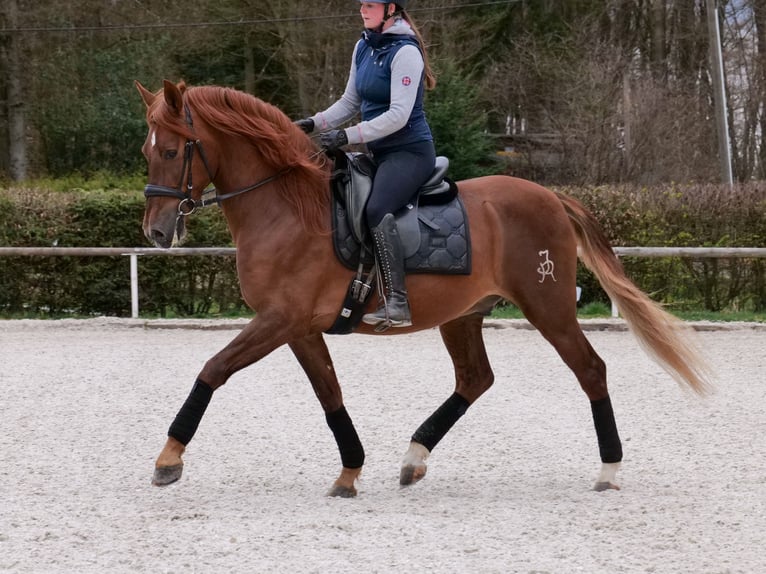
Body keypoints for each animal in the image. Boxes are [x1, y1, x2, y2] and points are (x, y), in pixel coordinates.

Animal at [135, 79, 711, 497]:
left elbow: (214, 369)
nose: (156, 232)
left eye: (173, 151)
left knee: (590, 370)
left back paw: (609, 470)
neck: (285, 207)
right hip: (463, 315)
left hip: (547, 306)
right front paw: (350, 472)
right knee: (475, 379)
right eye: (148, 150)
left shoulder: (279, 320)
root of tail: (550, 196)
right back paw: (414, 458)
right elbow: (329, 393)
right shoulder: (297, 327)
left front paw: (168, 459)